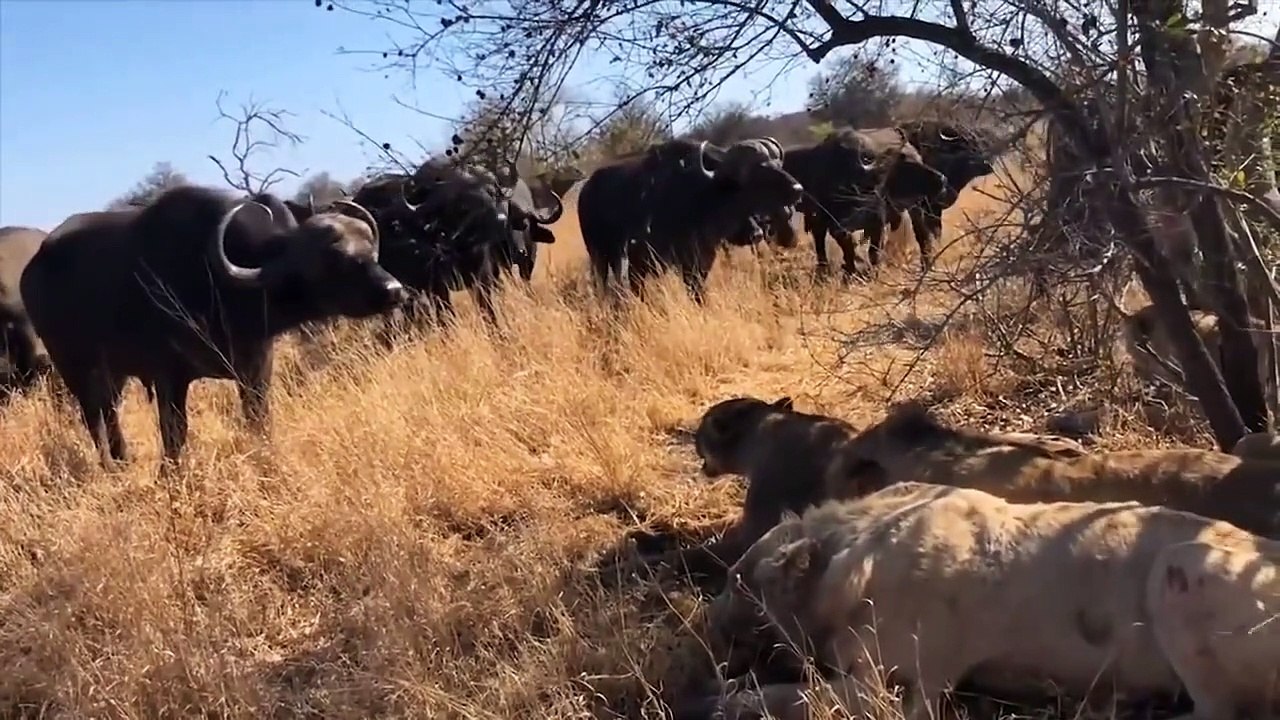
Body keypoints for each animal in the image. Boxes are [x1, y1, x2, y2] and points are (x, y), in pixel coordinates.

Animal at [20, 185, 407, 467]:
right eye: (333, 258)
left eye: (369, 248)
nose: (393, 290)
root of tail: (31, 271)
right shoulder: (168, 375)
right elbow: (174, 434)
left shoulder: (256, 367)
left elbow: (258, 419)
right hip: (75, 368)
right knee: (94, 417)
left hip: (115, 373)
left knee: (110, 412)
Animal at [577, 137, 803, 301]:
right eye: (759, 168)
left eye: (776, 163)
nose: (797, 189)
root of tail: (586, 190)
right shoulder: (649, 260)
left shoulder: (700, 260)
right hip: (598, 255)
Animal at [703, 482, 1280, 720]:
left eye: (736, 580)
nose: (708, 621)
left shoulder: (904, 688)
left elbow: (783, 697)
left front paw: (725, 701)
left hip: (1175, 571)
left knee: (1219, 711)